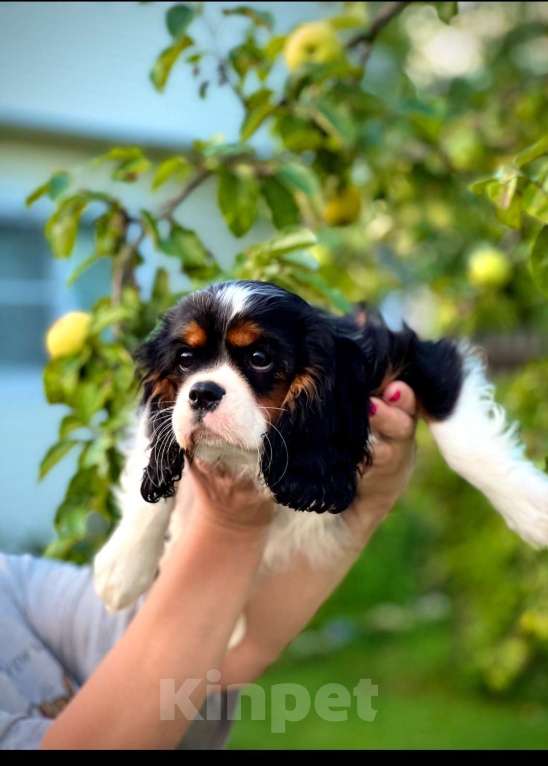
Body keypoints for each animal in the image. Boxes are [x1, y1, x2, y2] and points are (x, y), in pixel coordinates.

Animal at [94, 282, 548, 640]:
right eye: (185, 360)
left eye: (259, 358)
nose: (202, 392)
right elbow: (153, 467)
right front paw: (124, 564)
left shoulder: (415, 356)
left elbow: (463, 443)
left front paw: (532, 509)